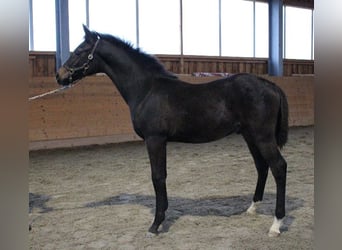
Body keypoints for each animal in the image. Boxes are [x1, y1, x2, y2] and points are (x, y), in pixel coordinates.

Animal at [56, 24, 288, 236]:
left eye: (79, 51)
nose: (59, 76)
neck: (146, 89)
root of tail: (271, 86)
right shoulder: (160, 141)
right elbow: (162, 176)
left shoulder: (155, 139)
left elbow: (157, 176)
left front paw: (156, 224)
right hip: (250, 136)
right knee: (262, 166)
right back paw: (252, 208)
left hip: (262, 137)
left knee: (278, 167)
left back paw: (276, 224)